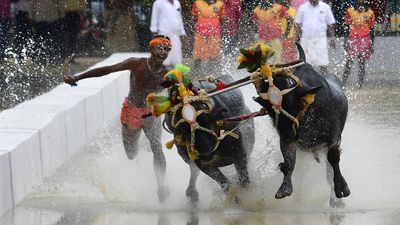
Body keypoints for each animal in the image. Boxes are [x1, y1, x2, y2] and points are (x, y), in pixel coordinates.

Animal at [253, 44, 350, 208]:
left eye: (292, 103)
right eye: (270, 110)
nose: (287, 133)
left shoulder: (334, 138)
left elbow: (333, 161)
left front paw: (342, 188)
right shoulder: (289, 141)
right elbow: (289, 162)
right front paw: (285, 189)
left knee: (329, 170)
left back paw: (335, 200)